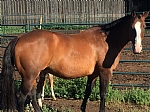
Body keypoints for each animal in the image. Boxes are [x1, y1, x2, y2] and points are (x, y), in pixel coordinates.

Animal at [1, 10, 149, 111]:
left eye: (143, 26)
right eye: (131, 27)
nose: (137, 48)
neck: (106, 40)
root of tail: (20, 37)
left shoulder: (93, 74)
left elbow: (87, 91)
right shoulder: (105, 72)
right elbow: (103, 94)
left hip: (32, 75)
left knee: (31, 95)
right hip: (30, 75)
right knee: (21, 96)